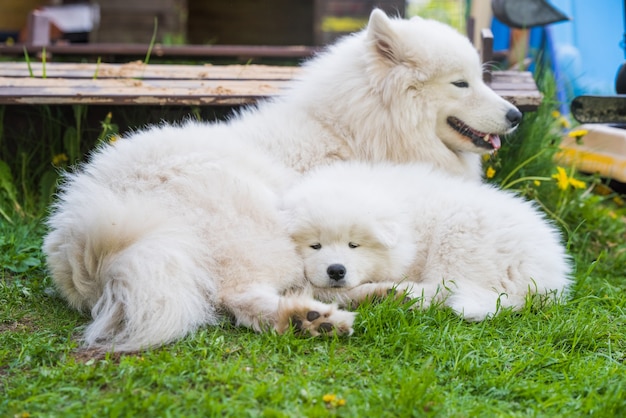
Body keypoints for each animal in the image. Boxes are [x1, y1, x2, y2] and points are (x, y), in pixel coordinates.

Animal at [42, 9, 520, 352]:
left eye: (479, 77)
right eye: (461, 83)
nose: (516, 115)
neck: (347, 130)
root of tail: (82, 239)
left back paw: (379, 298)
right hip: (256, 231)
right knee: (245, 296)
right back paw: (308, 320)